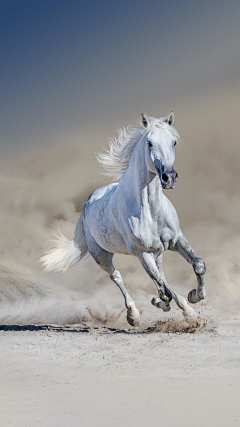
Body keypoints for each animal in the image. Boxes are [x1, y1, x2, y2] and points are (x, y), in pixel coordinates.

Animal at [39, 112, 206, 326]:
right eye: (149, 142)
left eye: (174, 142)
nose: (169, 177)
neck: (151, 211)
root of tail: (86, 207)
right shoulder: (143, 253)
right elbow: (163, 290)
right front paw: (162, 303)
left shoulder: (176, 240)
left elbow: (197, 265)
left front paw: (194, 297)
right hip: (102, 256)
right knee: (117, 276)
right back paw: (133, 315)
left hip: (157, 252)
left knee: (161, 276)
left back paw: (186, 310)